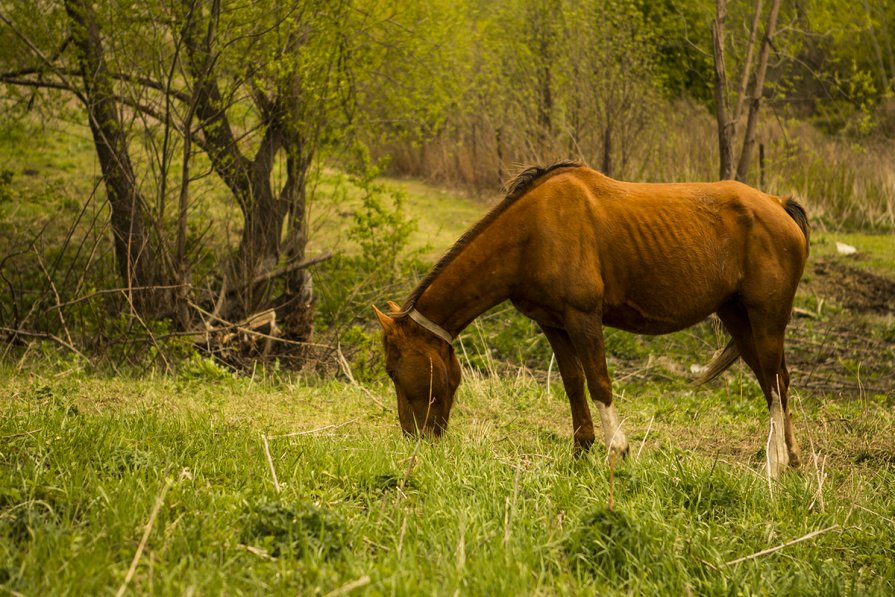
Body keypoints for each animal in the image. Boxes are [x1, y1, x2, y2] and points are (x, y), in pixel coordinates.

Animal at [374, 161, 808, 478]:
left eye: (393, 371)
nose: (413, 438)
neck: (532, 233)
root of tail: (778, 203)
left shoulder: (583, 317)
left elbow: (599, 382)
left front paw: (617, 449)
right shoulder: (552, 323)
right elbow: (573, 383)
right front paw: (581, 450)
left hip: (766, 321)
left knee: (774, 384)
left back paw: (775, 463)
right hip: (738, 318)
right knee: (778, 382)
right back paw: (791, 460)